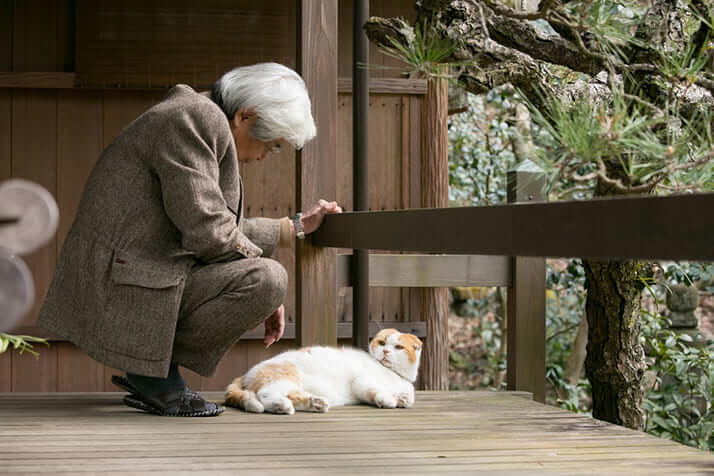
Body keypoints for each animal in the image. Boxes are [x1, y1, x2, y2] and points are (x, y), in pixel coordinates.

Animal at [225, 330, 420, 414]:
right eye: (382, 343)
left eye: (398, 347)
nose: (385, 352)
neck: (393, 374)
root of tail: (246, 372)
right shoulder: (361, 382)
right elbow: (377, 390)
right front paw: (388, 399)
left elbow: (408, 395)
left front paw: (402, 398)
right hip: (285, 375)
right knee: (265, 395)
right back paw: (281, 406)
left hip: (294, 385)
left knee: (290, 396)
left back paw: (315, 403)